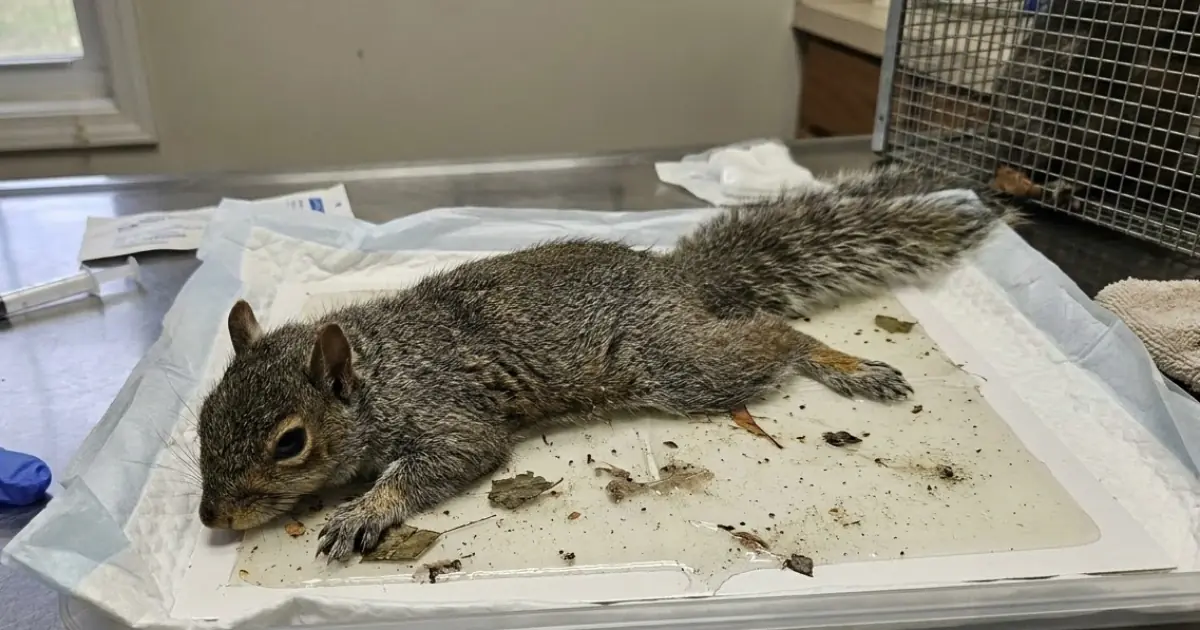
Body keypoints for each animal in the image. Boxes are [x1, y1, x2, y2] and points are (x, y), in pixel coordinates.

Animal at [195, 165, 1018, 562]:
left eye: (290, 442)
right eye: (202, 419)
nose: (210, 516)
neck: (378, 372)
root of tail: (678, 280)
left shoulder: (448, 410)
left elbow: (450, 456)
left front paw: (363, 511)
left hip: (676, 364)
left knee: (774, 334)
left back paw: (844, 363)